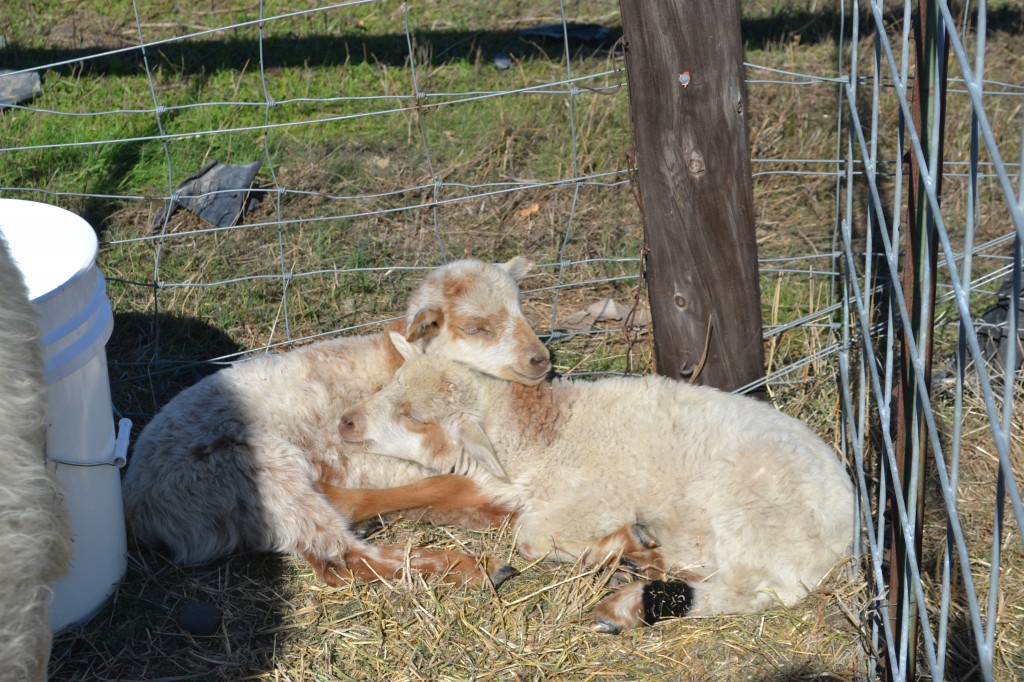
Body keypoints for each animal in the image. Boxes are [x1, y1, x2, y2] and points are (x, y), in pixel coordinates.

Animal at [122, 258, 552, 585]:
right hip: (256, 468)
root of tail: (137, 506)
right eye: (476, 327)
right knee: (342, 559)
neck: (392, 360)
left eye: (521, 311)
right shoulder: (385, 456)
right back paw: (475, 566)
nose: (541, 360)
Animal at [337, 333, 856, 630]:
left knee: (747, 591)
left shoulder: (591, 498)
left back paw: (628, 598)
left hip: (745, 509)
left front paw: (622, 545)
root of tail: (844, 535)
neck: (538, 434)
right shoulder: (498, 487)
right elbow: (435, 496)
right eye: (390, 385)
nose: (345, 422)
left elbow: (529, 539)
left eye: (414, 417)